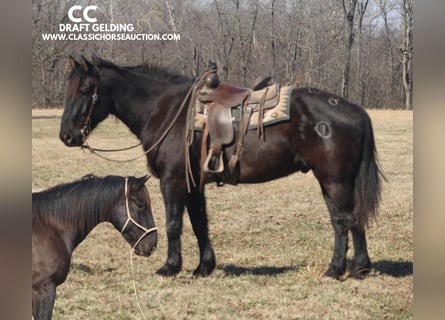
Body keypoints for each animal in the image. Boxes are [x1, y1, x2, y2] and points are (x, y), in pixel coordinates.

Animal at [60, 57, 384, 280]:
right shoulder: (193, 184)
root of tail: (354, 110)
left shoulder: (172, 181)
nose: (67, 136)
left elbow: (174, 224)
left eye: (86, 89)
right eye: (68, 89)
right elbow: (200, 223)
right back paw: (347, 268)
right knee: (344, 221)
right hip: (332, 182)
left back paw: (346, 269)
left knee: (346, 220)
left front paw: (169, 267)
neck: (166, 110)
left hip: (334, 181)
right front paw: (203, 267)